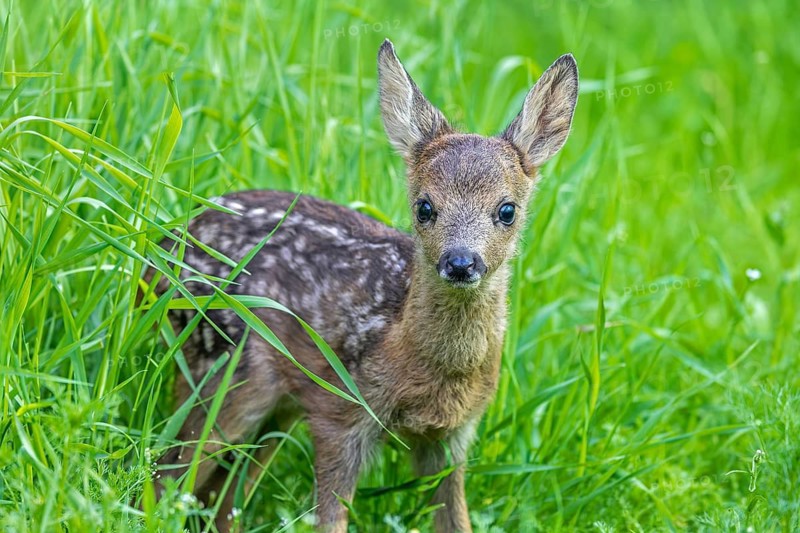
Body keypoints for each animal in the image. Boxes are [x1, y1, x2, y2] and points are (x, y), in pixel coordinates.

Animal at [149, 39, 578, 532]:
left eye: (507, 210)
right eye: (424, 207)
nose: (460, 262)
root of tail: (162, 251)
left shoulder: (453, 437)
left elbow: (456, 519)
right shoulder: (342, 416)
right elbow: (331, 516)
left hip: (275, 406)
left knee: (219, 498)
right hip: (227, 367)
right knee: (168, 473)